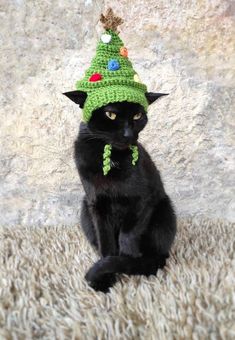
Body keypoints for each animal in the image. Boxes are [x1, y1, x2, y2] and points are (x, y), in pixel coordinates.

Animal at [63, 90, 176, 292]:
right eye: (111, 115)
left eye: (138, 116)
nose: (128, 134)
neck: (111, 158)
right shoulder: (97, 205)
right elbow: (106, 242)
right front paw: (105, 279)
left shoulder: (145, 199)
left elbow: (128, 233)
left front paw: (126, 260)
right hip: (85, 209)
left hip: (164, 209)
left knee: (157, 258)